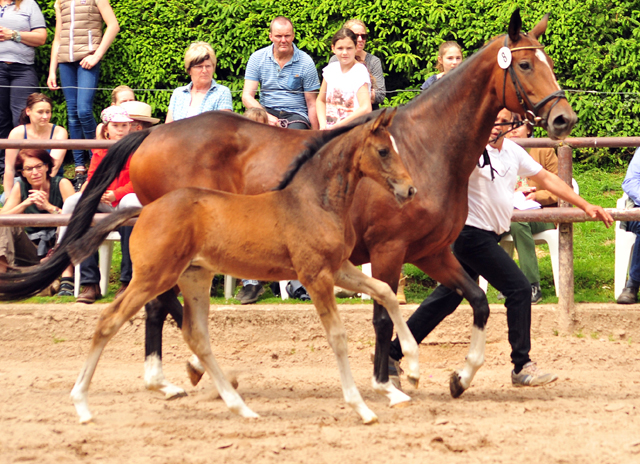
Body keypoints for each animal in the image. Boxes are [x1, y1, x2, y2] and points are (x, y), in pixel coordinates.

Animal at [67, 109, 420, 424]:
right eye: (384, 150)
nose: (410, 189)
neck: (312, 201)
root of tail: (145, 210)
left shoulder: (339, 269)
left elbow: (385, 292)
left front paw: (413, 366)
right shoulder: (315, 276)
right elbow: (337, 336)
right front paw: (362, 407)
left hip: (193, 278)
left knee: (197, 336)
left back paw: (239, 406)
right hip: (152, 276)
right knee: (109, 321)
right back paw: (82, 404)